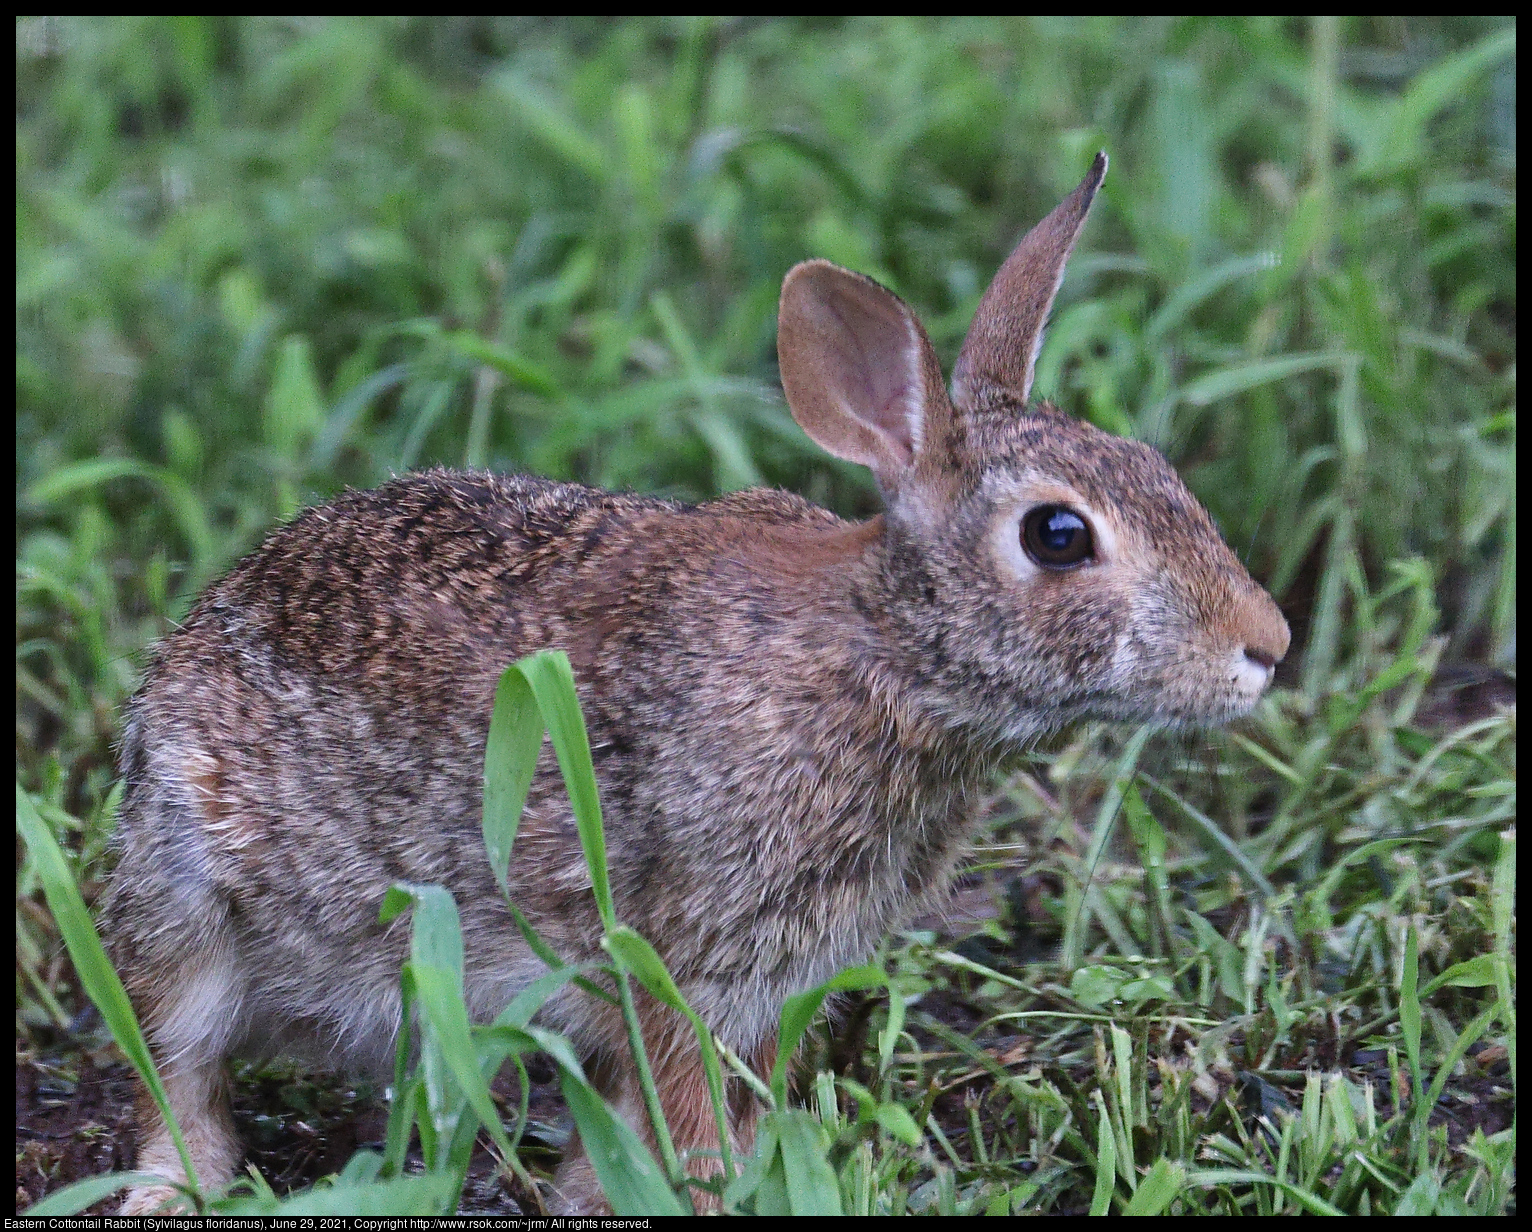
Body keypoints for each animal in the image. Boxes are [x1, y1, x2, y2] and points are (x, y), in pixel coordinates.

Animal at [101, 151, 1286, 1213]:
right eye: (1057, 536)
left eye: (1158, 471)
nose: (1266, 645)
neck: (883, 655)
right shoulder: (685, 959)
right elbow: (687, 1115)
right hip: (187, 892)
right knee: (174, 1057)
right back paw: (174, 1187)